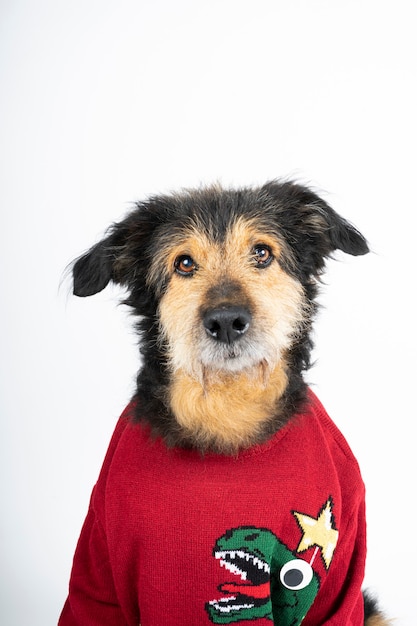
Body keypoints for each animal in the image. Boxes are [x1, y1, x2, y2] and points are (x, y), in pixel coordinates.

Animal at [59, 179, 386, 624]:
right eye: (183, 263)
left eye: (262, 253)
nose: (227, 321)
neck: (228, 412)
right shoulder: (101, 567)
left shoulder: (341, 571)